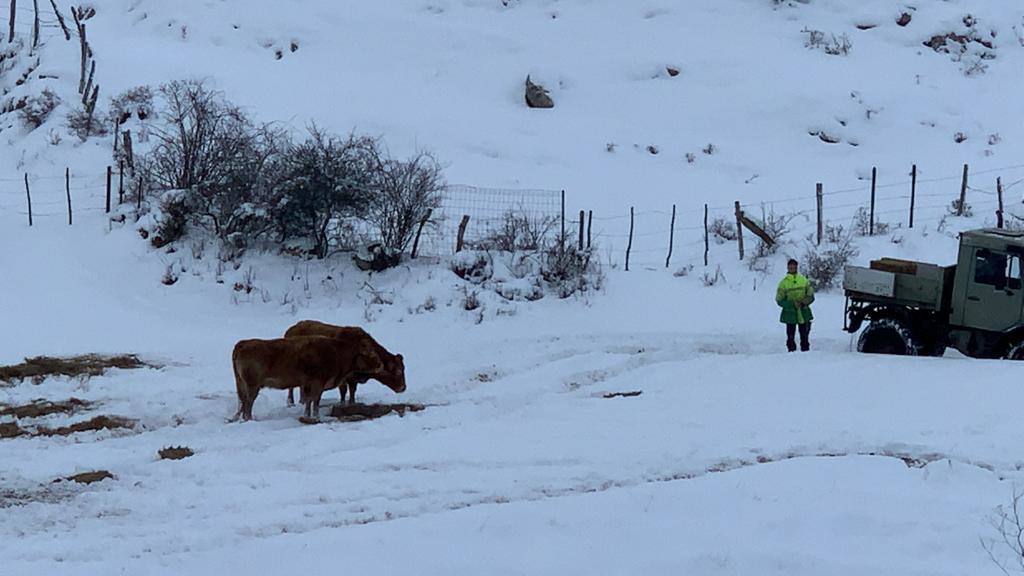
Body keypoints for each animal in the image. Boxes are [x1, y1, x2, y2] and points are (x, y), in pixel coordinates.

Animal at [234, 332, 405, 422]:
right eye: (371, 354)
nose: (380, 365)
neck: (337, 353)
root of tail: (242, 344)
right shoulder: (317, 383)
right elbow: (313, 400)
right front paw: (313, 417)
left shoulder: (312, 384)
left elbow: (312, 401)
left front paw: (309, 415)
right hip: (253, 386)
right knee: (248, 403)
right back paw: (248, 419)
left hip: (241, 384)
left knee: (242, 401)